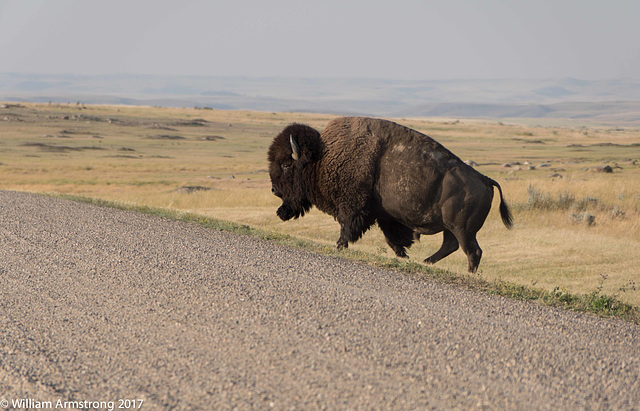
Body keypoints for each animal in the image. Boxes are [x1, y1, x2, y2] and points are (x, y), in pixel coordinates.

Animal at [268, 116, 512, 274]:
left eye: (287, 165)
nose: (274, 190)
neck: (322, 156)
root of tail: (486, 180)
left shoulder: (353, 207)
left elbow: (347, 228)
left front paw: (339, 247)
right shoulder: (384, 216)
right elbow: (393, 239)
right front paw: (403, 256)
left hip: (463, 229)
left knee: (473, 251)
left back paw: (464, 273)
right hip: (452, 227)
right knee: (451, 245)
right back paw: (426, 262)